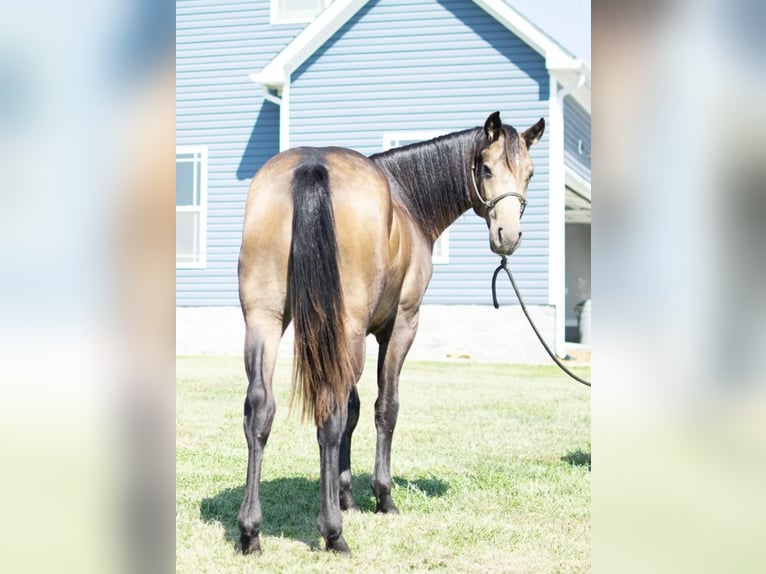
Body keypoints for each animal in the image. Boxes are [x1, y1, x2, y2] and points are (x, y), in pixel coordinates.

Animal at [237, 110, 544, 556]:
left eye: (530, 173)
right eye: (486, 168)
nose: (509, 235)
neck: (406, 199)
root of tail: (311, 165)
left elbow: (354, 409)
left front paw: (346, 495)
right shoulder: (400, 326)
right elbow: (385, 407)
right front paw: (382, 497)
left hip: (265, 319)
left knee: (261, 410)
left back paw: (250, 532)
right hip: (341, 327)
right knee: (328, 416)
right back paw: (333, 534)